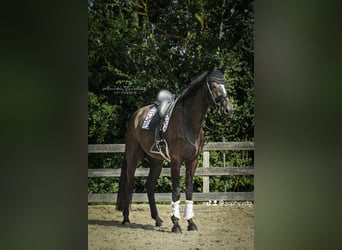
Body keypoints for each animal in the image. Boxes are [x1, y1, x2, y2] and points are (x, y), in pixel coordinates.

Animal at [117, 65, 232, 233]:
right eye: (214, 85)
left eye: (225, 85)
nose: (228, 109)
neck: (188, 122)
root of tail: (136, 116)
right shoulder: (176, 161)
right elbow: (176, 191)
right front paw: (176, 224)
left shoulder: (193, 161)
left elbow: (189, 191)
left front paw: (191, 223)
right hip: (133, 156)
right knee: (129, 184)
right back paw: (126, 219)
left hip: (156, 160)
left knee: (149, 185)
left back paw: (157, 219)